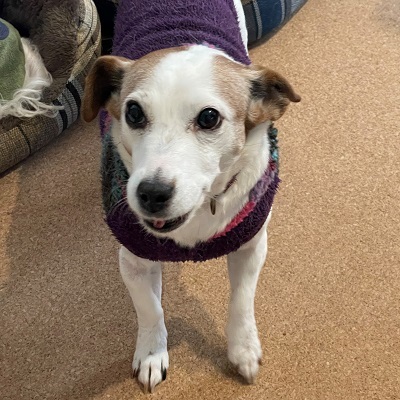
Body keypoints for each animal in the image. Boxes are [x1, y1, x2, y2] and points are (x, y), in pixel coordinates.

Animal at [82, 0, 300, 393]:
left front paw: (243, 348)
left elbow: (241, 301)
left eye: (209, 117)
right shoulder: (133, 260)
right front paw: (152, 353)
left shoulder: (252, 245)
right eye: (133, 112)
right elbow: (150, 309)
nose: (151, 193)